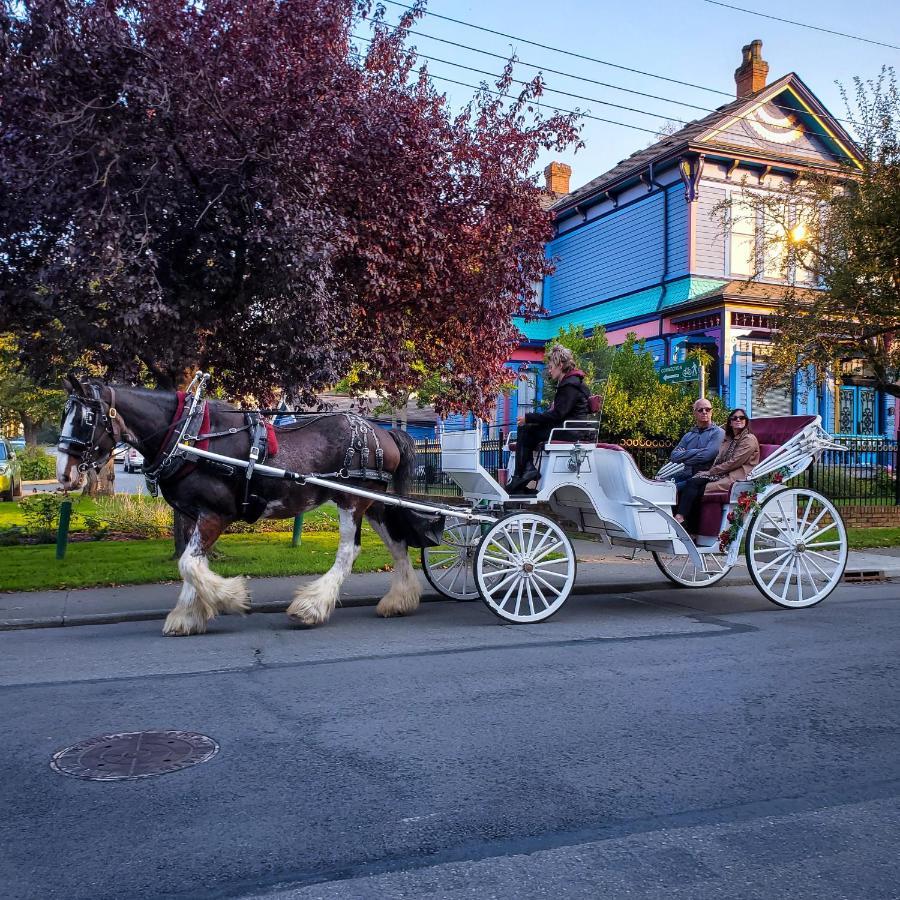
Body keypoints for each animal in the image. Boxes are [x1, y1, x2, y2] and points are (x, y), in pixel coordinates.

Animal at [57, 376, 436, 636]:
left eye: (86, 419)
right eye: (65, 415)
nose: (65, 474)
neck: (187, 437)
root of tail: (382, 432)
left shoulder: (216, 514)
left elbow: (188, 564)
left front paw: (232, 598)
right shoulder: (194, 516)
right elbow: (192, 564)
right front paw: (188, 615)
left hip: (351, 500)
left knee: (348, 552)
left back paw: (310, 607)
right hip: (373, 502)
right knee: (397, 543)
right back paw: (399, 600)